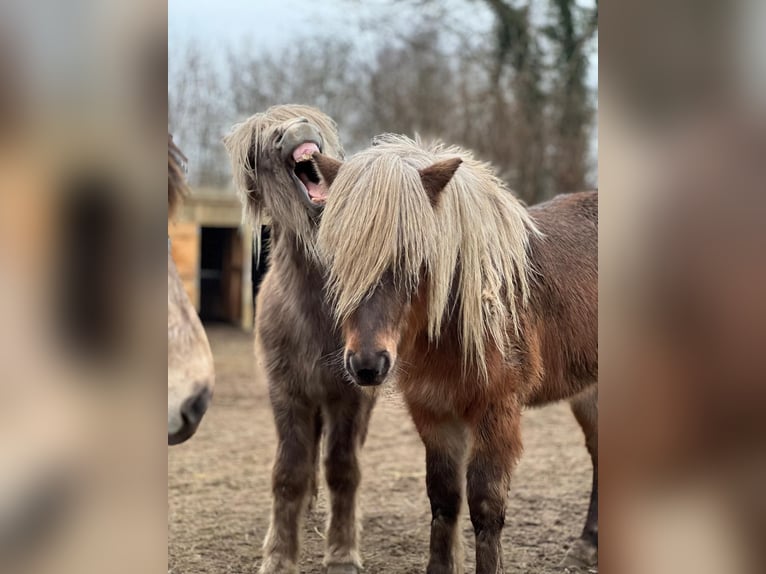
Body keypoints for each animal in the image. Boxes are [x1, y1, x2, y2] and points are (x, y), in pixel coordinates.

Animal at [222, 104, 378, 574]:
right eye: (259, 147)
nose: (293, 131)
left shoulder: (349, 397)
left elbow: (343, 468)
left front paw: (342, 552)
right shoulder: (287, 392)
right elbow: (289, 471)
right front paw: (279, 555)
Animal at [314, 136, 600, 574]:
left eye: (414, 256)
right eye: (340, 258)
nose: (367, 365)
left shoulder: (496, 411)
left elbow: (485, 506)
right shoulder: (433, 411)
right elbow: (444, 499)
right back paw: (587, 546)